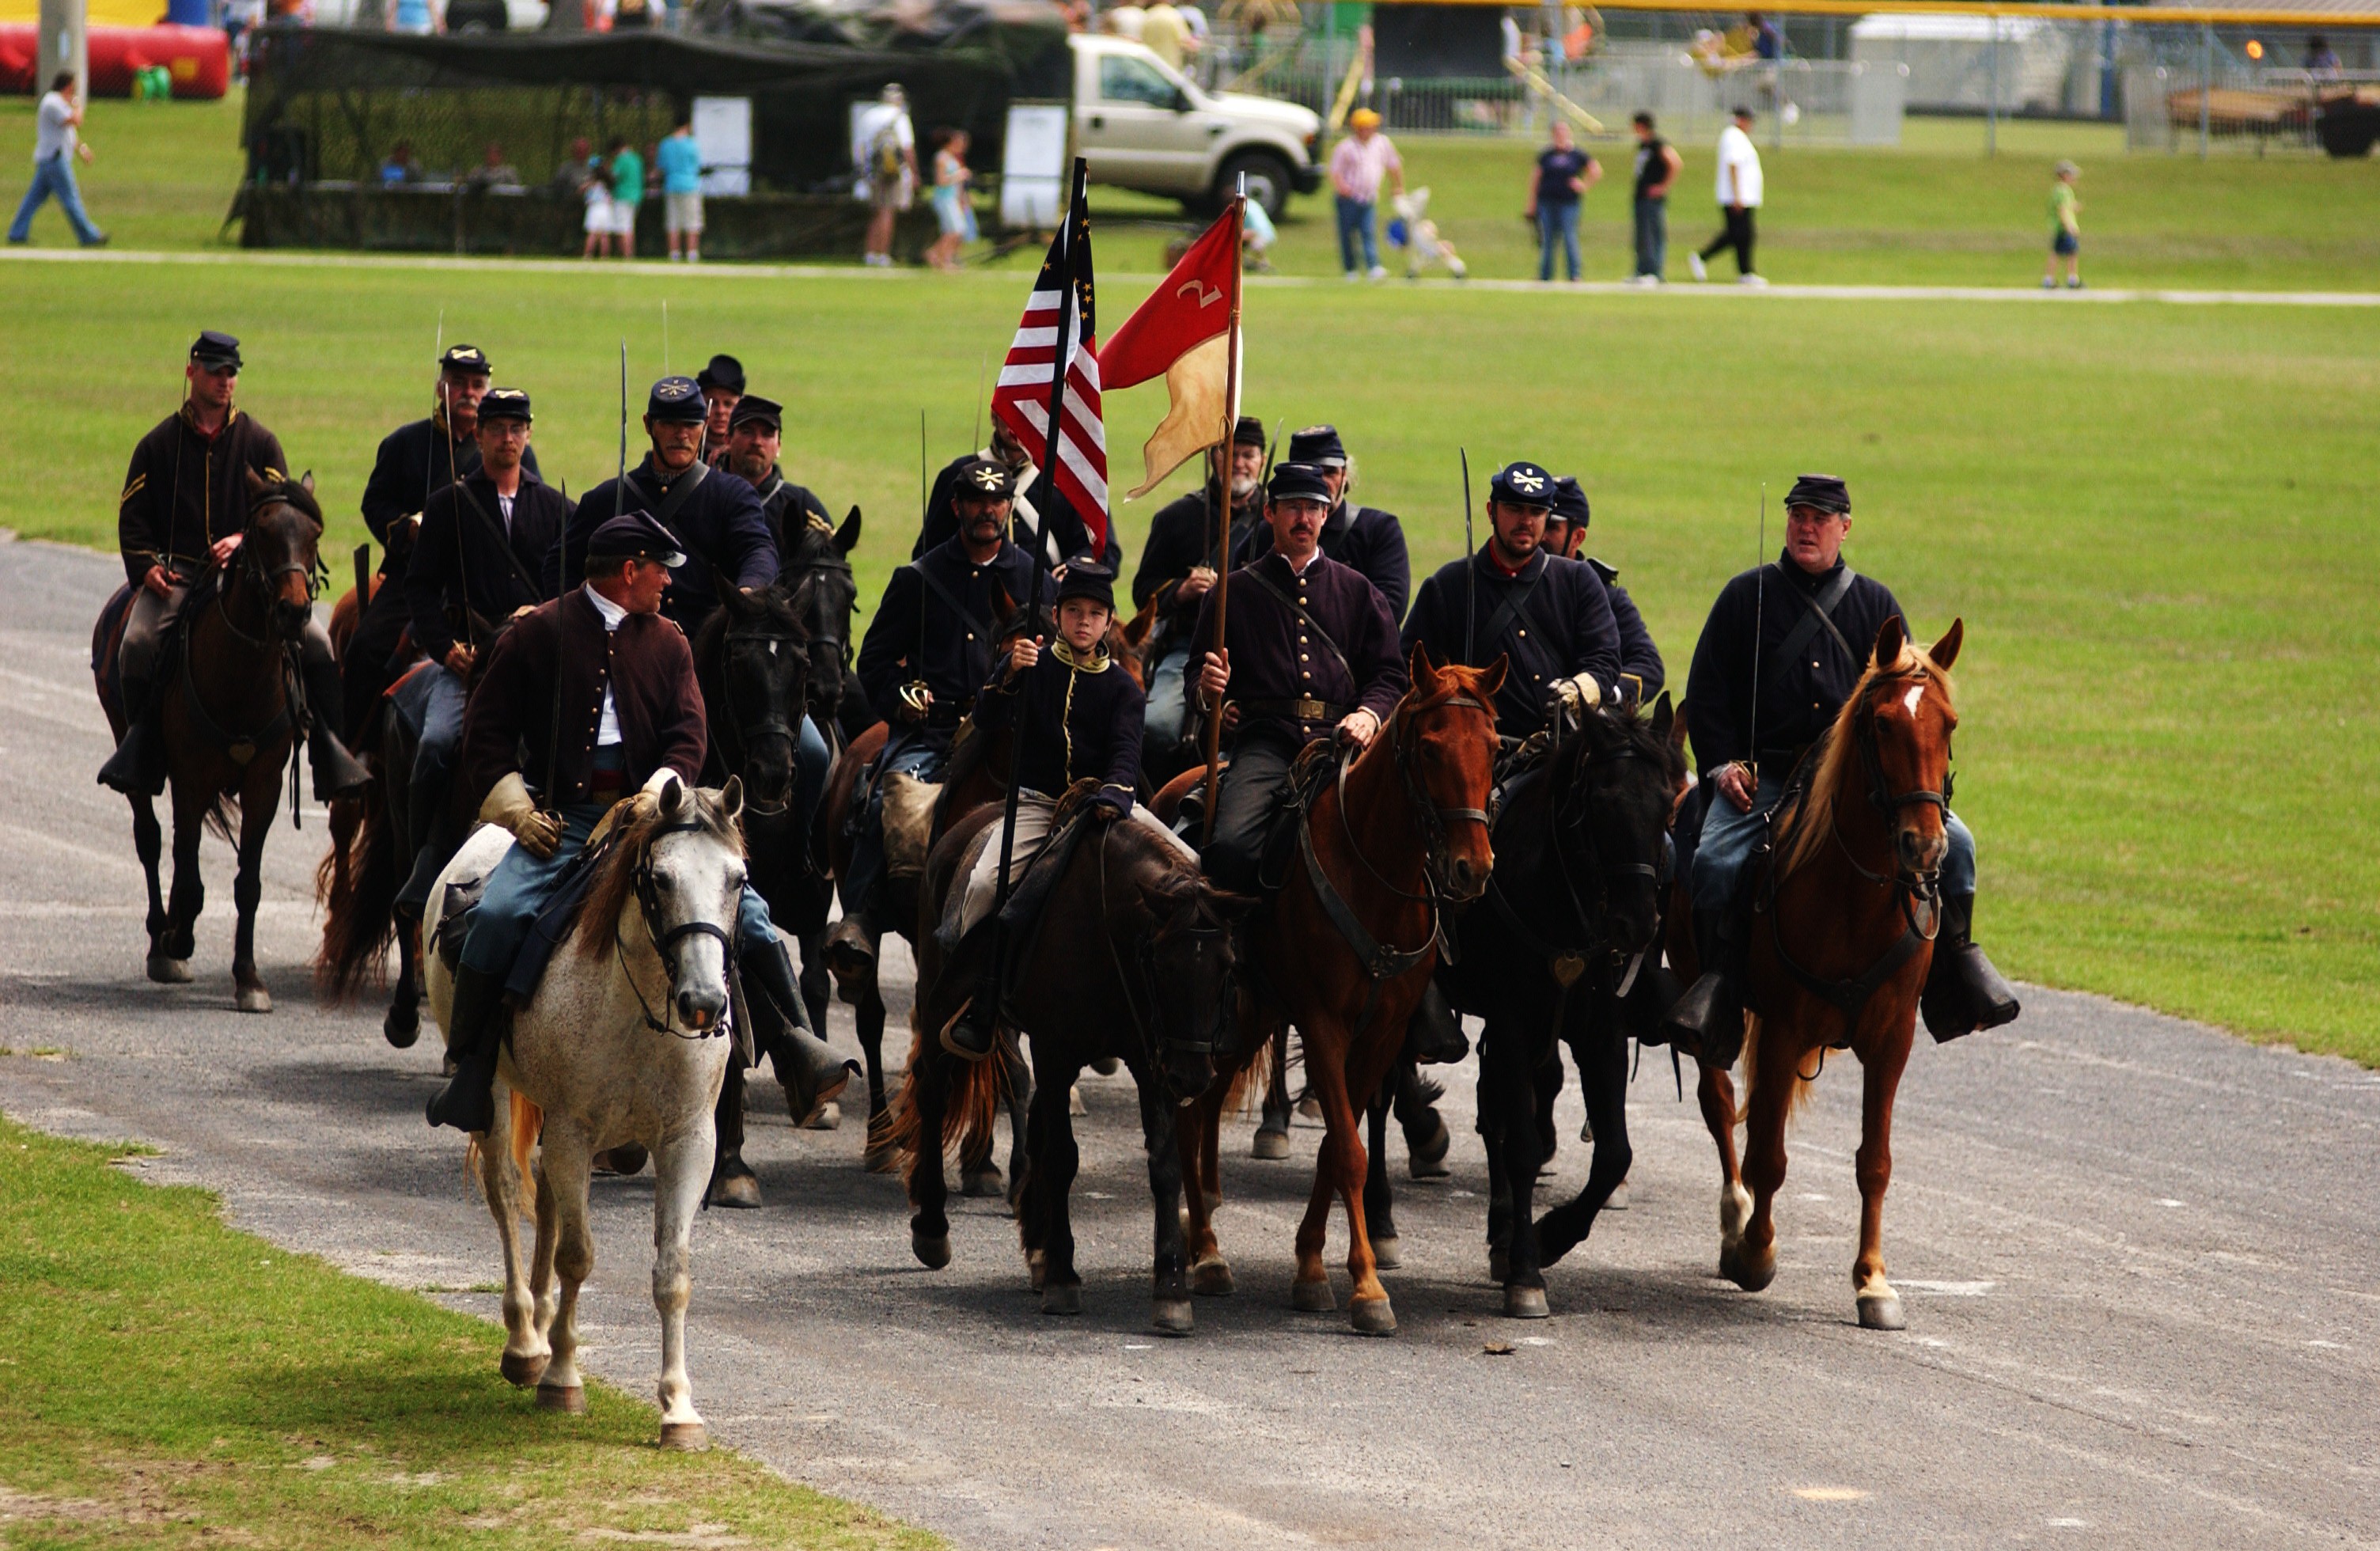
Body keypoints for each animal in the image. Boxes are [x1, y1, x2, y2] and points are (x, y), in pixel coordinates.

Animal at [94, 468, 328, 1003]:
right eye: (261, 530)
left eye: (313, 534)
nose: (293, 612)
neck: (241, 672)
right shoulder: (191, 779)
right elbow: (188, 875)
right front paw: (178, 939)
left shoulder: (264, 784)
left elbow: (248, 883)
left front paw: (249, 978)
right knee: (151, 840)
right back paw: (162, 940)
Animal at [428, 776, 742, 1455]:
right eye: (660, 879)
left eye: (737, 879)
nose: (704, 1002)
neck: (643, 1007)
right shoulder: (576, 1130)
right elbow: (576, 1255)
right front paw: (563, 1379)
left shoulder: (689, 1142)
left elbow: (673, 1272)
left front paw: (679, 1409)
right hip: (496, 1095)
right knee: (507, 1191)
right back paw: (526, 1343)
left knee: (544, 1197)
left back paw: (543, 1329)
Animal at [1175, 642, 1495, 1332]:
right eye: (1431, 748)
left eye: (1492, 746)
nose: (1472, 869)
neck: (1374, 872)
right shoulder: (1323, 1024)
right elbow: (1348, 1149)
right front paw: (1369, 1289)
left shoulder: (1381, 1035)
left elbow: (1336, 1146)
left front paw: (1312, 1268)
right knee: (1188, 1113)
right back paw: (1206, 1254)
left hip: (1253, 1016)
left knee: (1207, 1105)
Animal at [1427, 694, 1694, 1313]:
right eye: (1599, 803)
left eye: (1667, 804)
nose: (1637, 924)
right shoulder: (1512, 1022)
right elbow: (1524, 1146)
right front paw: (1527, 1271)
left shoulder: (1601, 1034)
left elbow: (1614, 1153)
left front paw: (1549, 1236)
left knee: (1493, 1111)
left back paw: (1502, 1227)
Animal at [1666, 618, 1961, 1332]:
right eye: (1882, 723)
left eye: (1949, 724)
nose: (1925, 846)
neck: (1855, 898)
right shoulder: (1782, 1029)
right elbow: (1769, 1155)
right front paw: (1756, 1253)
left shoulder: (1892, 1042)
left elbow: (1874, 1163)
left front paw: (1873, 1281)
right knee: (1723, 1108)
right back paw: (1735, 1220)